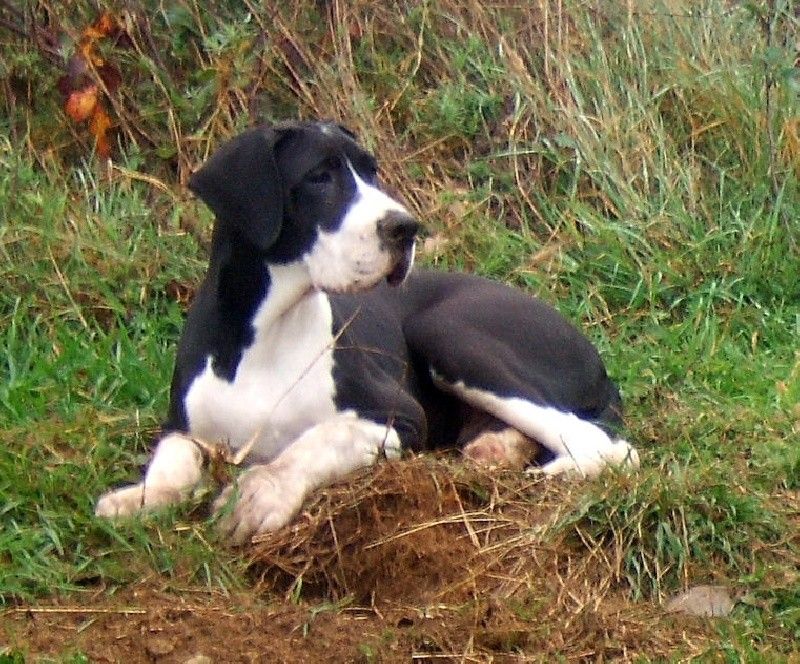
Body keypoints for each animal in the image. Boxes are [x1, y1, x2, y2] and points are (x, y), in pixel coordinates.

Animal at [96, 120, 638, 544]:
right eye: (319, 177)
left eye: (371, 171)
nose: (406, 228)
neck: (266, 332)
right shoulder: (182, 424)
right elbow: (172, 458)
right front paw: (139, 497)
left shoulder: (399, 416)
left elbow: (320, 438)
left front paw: (262, 490)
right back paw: (496, 448)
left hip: (447, 331)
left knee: (608, 447)